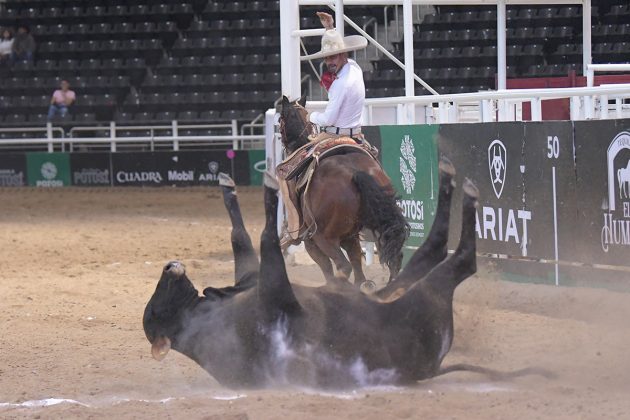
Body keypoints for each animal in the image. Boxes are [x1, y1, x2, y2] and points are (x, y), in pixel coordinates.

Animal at [146, 160, 482, 388]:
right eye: (157, 309)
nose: (168, 266)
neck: (204, 317)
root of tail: (431, 369)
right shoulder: (274, 293)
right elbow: (266, 237)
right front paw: (271, 188)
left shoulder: (252, 278)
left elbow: (240, 237)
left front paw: (229, 187)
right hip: (424, 300)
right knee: (454, 258)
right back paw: (460, 188)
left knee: (413, 267)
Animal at [280, 94, 410, 286]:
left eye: (280, 119)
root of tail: (355, 172)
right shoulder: (350, 236)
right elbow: (356, 259)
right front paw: (364, 285)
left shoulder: (311, 239)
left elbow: (327, 266)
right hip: (382, 223)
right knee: (393, 257)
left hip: (323, 237)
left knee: (343, 266)